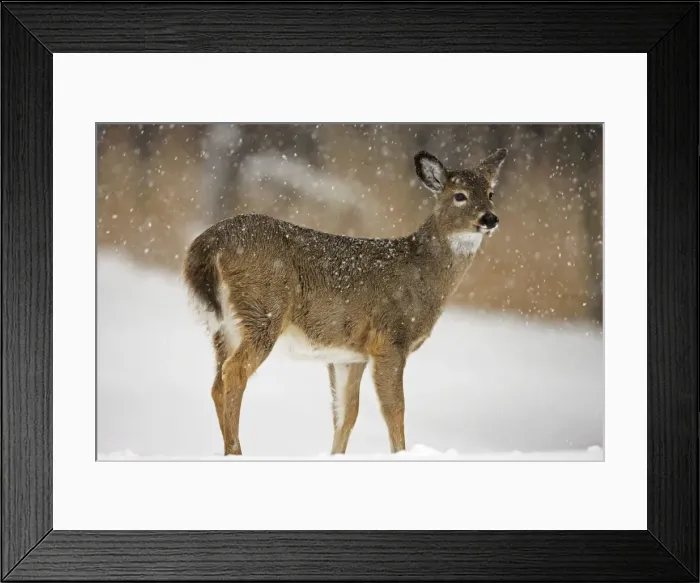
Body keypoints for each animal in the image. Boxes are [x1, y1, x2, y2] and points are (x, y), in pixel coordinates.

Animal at [183, 148, 507, 456]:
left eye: (491, 193)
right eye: (460, 195)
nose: (490, 218)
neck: (420, 274)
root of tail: (208, 243)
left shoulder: (349, 354)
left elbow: (346, 414)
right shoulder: (390, 338)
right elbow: (394, 409)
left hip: (224, 325)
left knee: (217, 382)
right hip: (263, 309)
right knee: (234, 372)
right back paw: (237, 451)